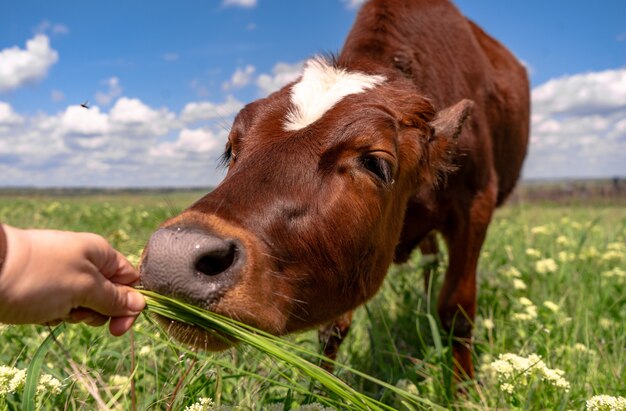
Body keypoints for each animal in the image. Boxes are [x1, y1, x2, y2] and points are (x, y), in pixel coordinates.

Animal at [140, 0, 528, 380]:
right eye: (231, 148)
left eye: (375, 162)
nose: (172, 255)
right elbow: (333, 330)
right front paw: (321, 389)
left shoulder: (477, 204)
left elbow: (457, 313)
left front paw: (465, 390)